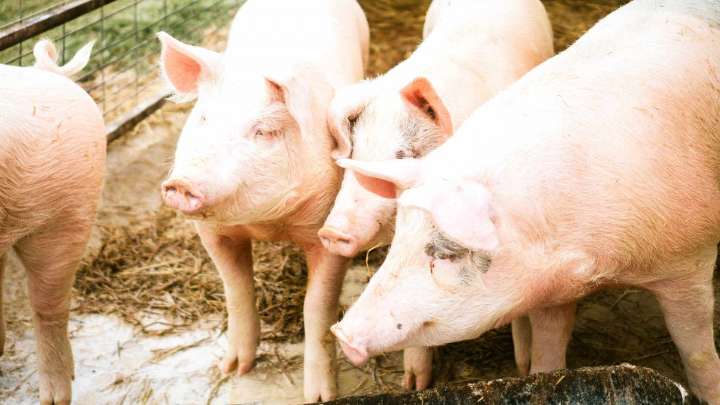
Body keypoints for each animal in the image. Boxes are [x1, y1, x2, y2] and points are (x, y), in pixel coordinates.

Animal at [157, 0, 368, 401]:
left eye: (264, 131)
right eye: (203, 118)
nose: (181, 183)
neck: (267, 224)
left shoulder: (332, 232)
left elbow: (317, 306)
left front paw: (319, 397)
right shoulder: (212, 233)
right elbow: (236, 290)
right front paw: (233, 370)